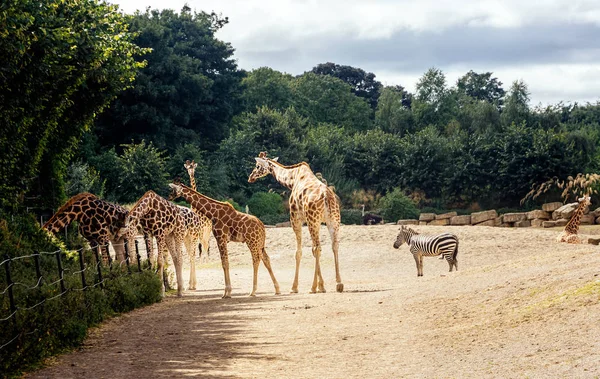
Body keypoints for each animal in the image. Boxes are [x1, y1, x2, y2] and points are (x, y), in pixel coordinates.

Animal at [247, 151, 342, 294]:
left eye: (258, 166)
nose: (250, 177)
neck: (292, 179)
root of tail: (327, 197)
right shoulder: (314, 222)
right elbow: (311, 250)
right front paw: (322, 286)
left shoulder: (296, 219)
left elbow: (298, 252)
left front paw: (295, 287)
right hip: (333, 221)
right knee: (334, 246)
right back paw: (339, 284)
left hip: (314, 220)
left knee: (317, 248)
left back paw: (312, 288)